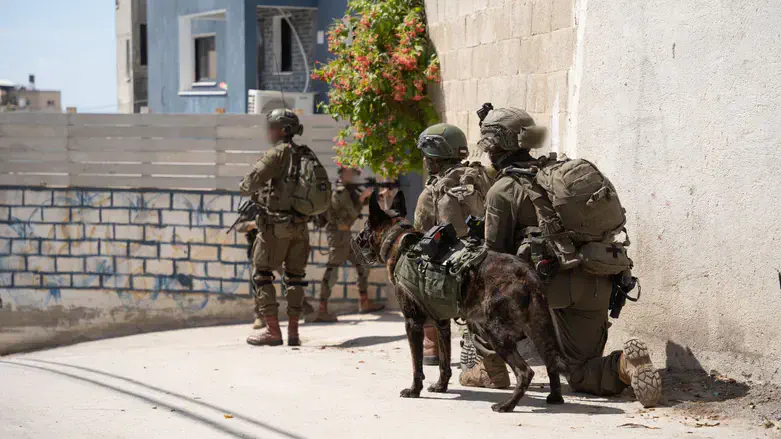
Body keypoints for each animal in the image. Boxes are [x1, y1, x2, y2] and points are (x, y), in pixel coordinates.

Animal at [354, 192, 568, 412]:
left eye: (366, 226)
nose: (356, 239)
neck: (399, 242)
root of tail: (527, 274)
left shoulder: (412, 323)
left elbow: (417, 365)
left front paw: (414, 390)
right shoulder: (441, 323)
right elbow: (444, 362)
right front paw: (441, 386)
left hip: (494, 332)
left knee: (525, 371)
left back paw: (507, 405)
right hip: (538, 328)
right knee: (551, 361)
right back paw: (555, 397)